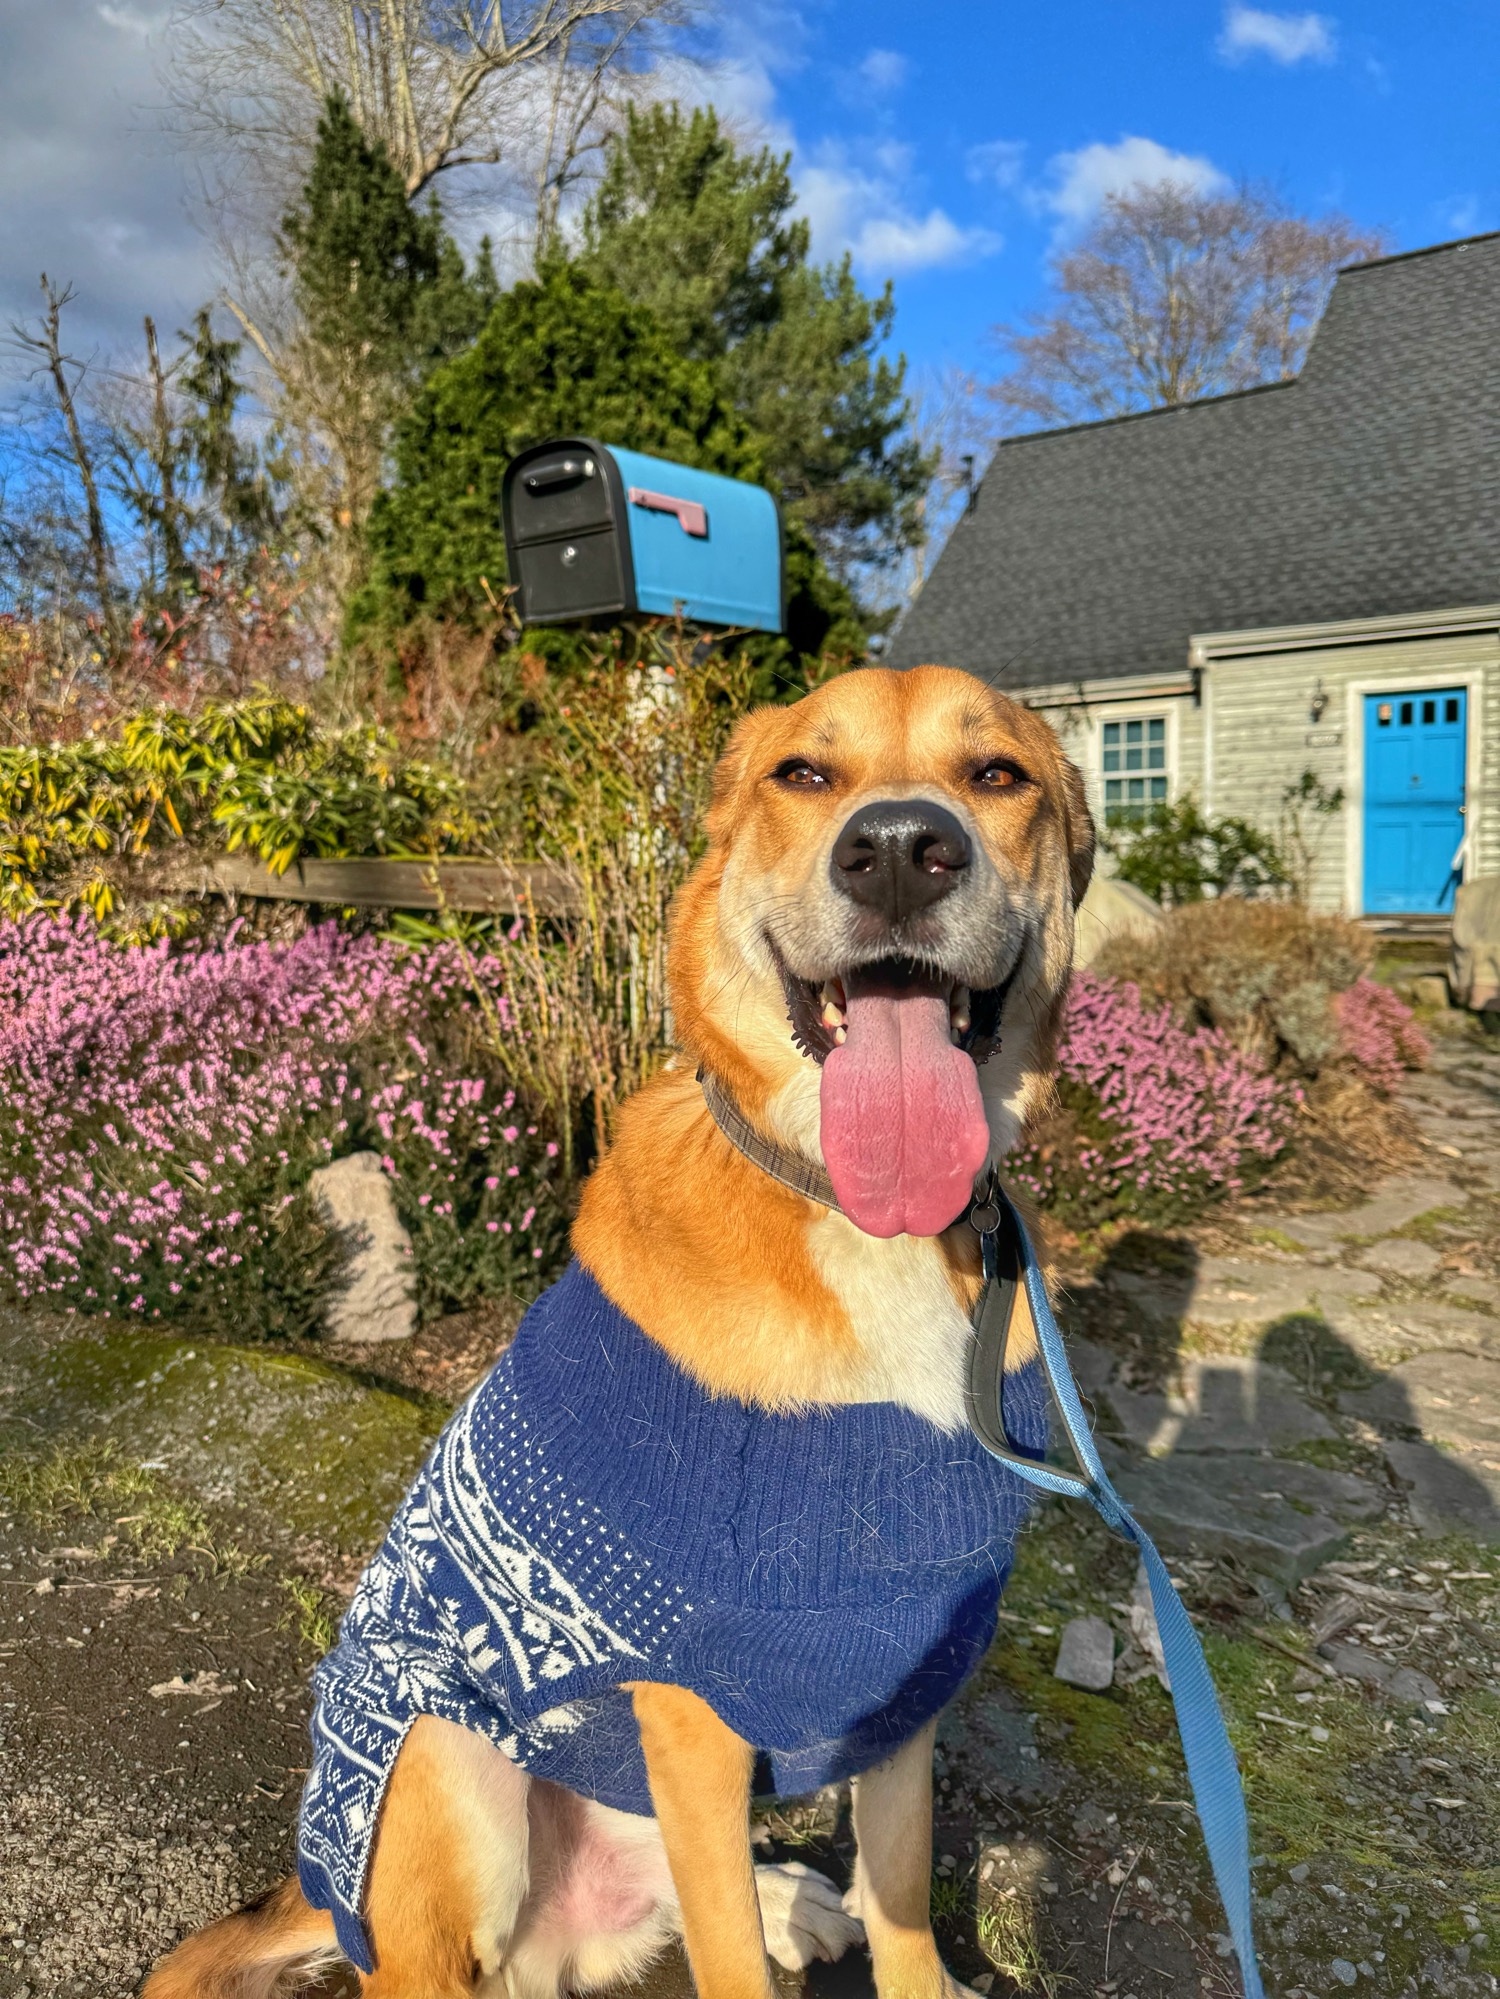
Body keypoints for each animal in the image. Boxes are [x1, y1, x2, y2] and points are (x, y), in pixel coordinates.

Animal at [143, 663, 1094, 1999]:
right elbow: (729, 1957)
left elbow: (903, 1896)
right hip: (440, 1753)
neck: (850, 1214)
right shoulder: (688, 1711)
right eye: (805, 773)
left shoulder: (909, 1667)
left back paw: (792, 1895)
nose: (903, 852)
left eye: (997, 774)